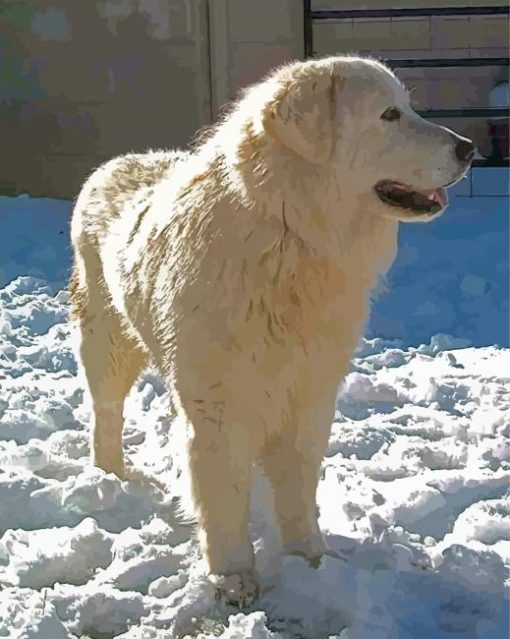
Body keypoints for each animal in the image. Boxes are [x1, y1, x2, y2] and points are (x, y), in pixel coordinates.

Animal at [68, 53, 474, 604]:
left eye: (407, 107)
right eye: (390, 115)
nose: (469, 148)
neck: (290, 235)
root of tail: (114, 164)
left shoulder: (308, 395)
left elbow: (298, 489)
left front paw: (310, 561)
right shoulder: (218, 408)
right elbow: (222, 499)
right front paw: (234, 578)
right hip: (107, 342)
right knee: (106, 412)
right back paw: (109, 475)